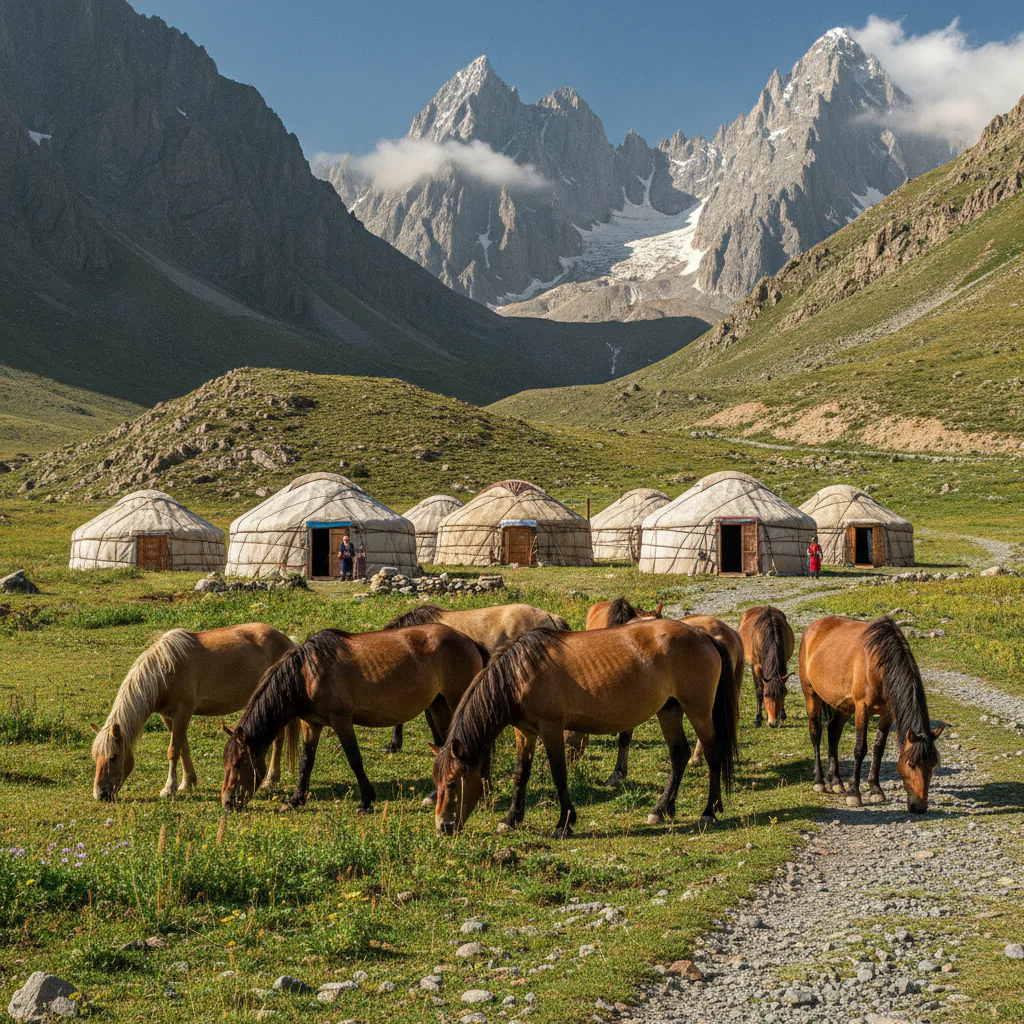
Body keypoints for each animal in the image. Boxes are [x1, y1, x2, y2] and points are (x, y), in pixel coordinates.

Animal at [91, 624, 296, 801]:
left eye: (113, 757)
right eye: (95, 758)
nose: (100, 794)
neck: (165, 670)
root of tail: (288, 641)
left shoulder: (183, 712)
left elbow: (173, 750)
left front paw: (169, 788)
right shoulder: (169, 717)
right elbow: (183, 747)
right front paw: (187, 782)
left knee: (278, 740)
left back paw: (271, 780)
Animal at [221, 624, 486, 813]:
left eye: (239, 763)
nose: (227, 801)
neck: (307, 675)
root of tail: (468, 640)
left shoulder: (342, 722)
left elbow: (354, 760)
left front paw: (367, 801)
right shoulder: (311, 724)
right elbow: (306, 762)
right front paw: (296, 799)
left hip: (457, 701)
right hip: (438, 706)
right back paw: (434, 795)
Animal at [432, 620, 738, 838]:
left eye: (452, 782)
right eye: (436, 783)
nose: (443, 827)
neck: (519, 674)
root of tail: (704, 636)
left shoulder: (551, 730)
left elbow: (559, 774)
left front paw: (564, 822)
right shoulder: (525, 732)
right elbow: (521, 774)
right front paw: (511, 818)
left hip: (698, 711)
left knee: (712, 753)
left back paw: (709, 811)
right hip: (669, 710)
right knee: (679, 755)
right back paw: (662, 809)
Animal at [799, 615, 942, 812]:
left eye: (933, 765)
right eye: (911, 764)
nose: (918, 808)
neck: (878, 665)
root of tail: (812, 628)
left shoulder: (887, 714)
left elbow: (878, 748)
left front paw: (876, 790)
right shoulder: (862, 709)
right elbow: (860, 749)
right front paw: (854, 794)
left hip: (845, 706)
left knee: (833, 731)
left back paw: (836, 781)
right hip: (811, 695)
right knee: (816, 733)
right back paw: (819, 781)